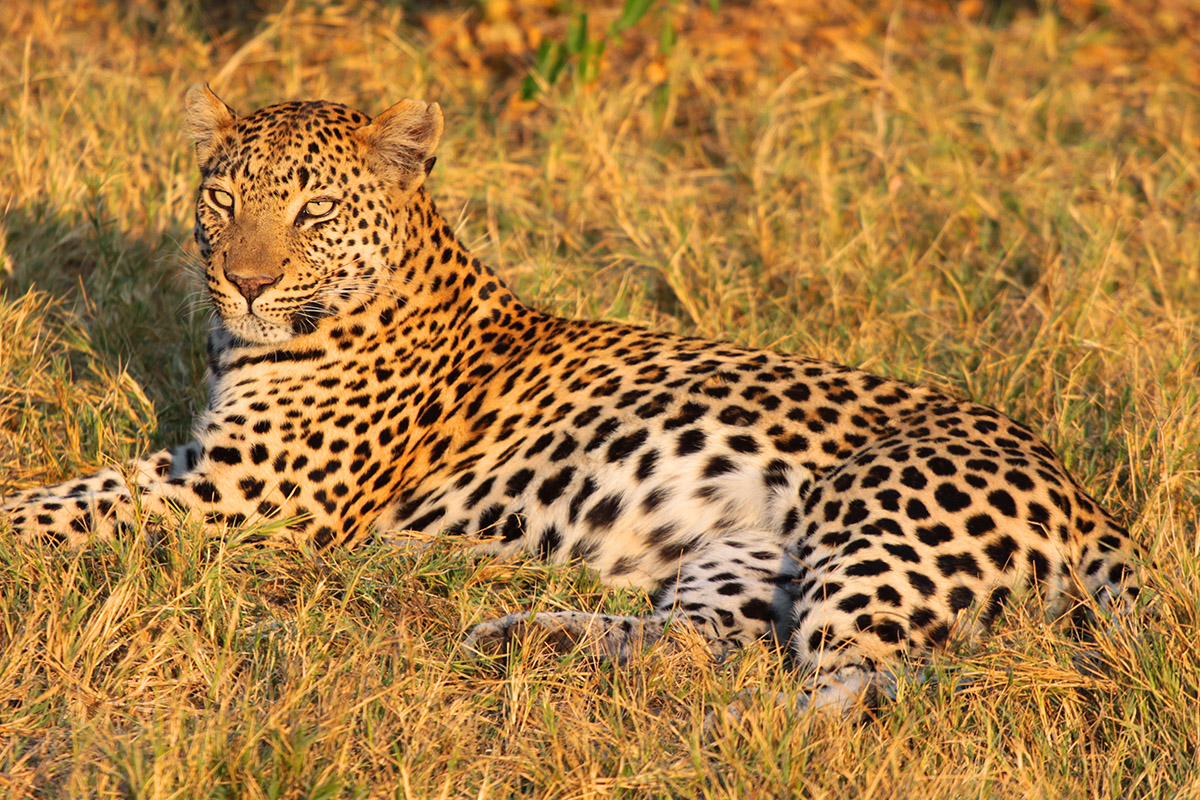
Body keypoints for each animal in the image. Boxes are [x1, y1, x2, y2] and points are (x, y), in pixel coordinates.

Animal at [0, 86, 1142, 714]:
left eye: (313, 210)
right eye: (222, 197)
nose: (241, 280)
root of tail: (1081, 492)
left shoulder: (255, 496)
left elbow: (74, 506)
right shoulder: (210, 468)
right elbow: (79, 490)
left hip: (871, 535)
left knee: (850, 685)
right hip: (745, 553)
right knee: (700, 649)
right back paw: (520, 637)